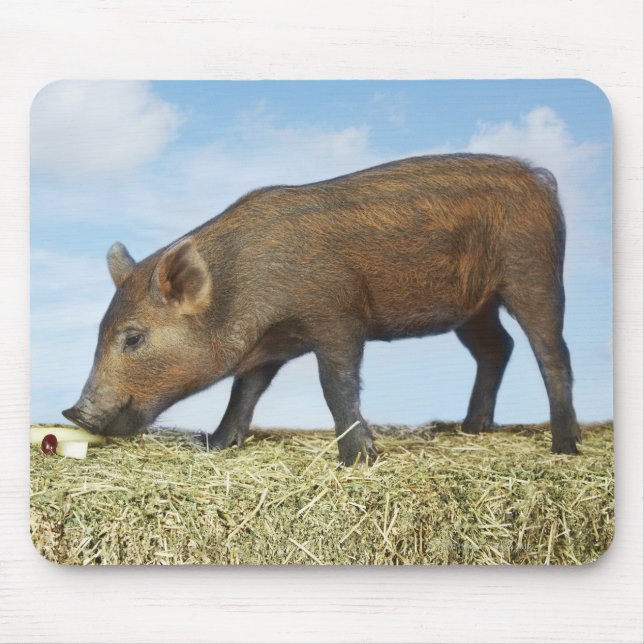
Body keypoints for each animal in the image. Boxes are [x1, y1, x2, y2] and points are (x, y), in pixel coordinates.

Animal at [62, 154, 581, 464]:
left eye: (133, 337)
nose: (73, 412)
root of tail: (540, 178)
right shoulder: (269, 347)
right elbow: (243, 392)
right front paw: (213, 444)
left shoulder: (338, 317)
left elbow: (336, 385)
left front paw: (358, 459)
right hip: (476, 307)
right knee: (498, 347)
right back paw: (469, 430)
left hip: (533, 271)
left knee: (552, 353)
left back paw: (565, 448)